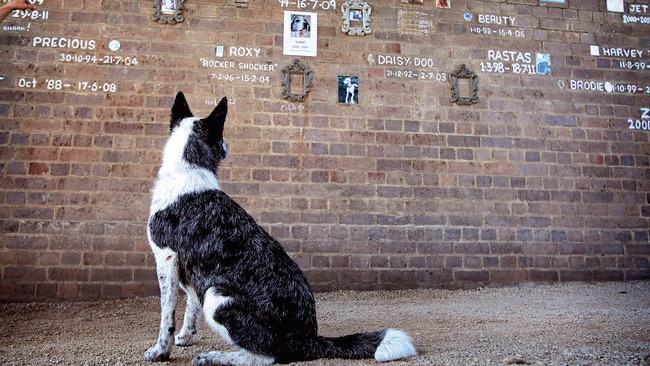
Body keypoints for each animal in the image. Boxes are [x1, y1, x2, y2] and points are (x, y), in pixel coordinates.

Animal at [143, 92, 416, 366]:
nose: (228, 146)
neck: (188, 169)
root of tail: (309, 340)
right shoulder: (189, 268)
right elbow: (190, 307)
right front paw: (185, 337)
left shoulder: (166, 259)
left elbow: (166, 317)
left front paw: (160, 352)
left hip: (217, 296)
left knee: (263, 357)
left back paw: (215, 357)